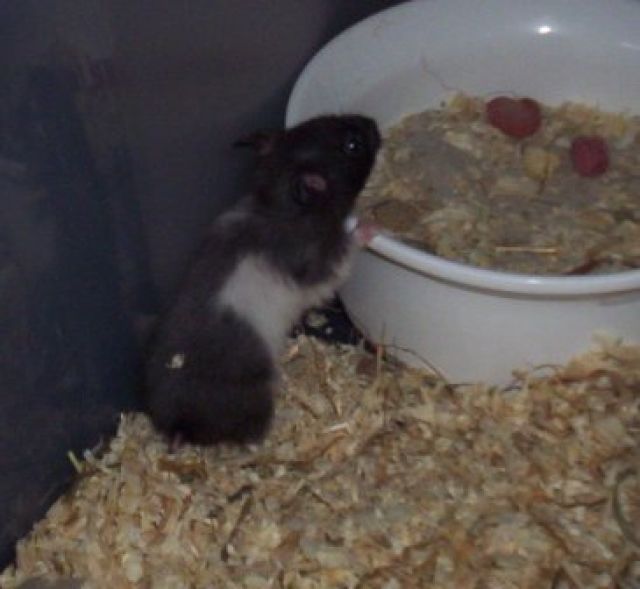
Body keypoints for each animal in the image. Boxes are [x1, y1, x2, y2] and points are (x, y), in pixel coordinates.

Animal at [143, 114, 381, 445]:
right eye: (353, 146)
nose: (373, 123)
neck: (278, 201)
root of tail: (177, 426)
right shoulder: (321, 267)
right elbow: (347, 249)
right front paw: (371, 226)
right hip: (256, 397)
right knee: (252, 437)